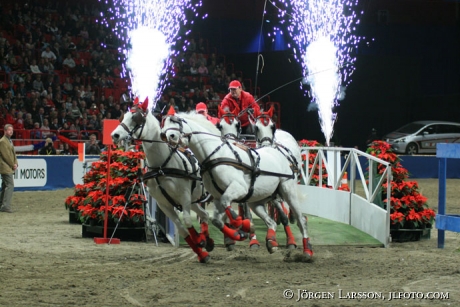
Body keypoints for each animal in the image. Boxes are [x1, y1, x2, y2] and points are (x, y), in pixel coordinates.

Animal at [110, 99, 213, 264]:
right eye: (123, 116)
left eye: (135, 118)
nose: (115, 135)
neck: (162, 166)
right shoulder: (163, 203)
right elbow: (182, 228)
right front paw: (201, 250)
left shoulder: (184, 196)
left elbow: (187, 221)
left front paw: (199, 242)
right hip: (194, 201)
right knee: (204, 215)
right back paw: (208, 240)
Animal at [161, 110, 312, 260]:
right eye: (164, 123)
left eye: (176, 122)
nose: (167, 136)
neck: (216, 155)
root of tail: (277, 150)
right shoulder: (217, 197)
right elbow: (217, 220)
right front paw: (236, 234)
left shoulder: (238, 189)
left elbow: (229, 210)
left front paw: (243, 226)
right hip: (257, 200)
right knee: (271, 222)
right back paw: (271, 242)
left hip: (287, 191)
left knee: (300, 220)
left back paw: (306, 250)